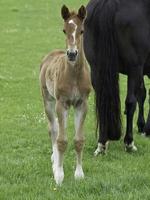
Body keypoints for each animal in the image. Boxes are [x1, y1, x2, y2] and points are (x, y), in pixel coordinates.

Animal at [39, 5, 91, 186]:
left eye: (82, 31)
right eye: (64, 30)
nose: (72, 54)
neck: (74, 76)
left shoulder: (82, 103)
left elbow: (79, 140)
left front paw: (79, 174)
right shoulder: (61, 103)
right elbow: (61, 140)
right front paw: (59, 175)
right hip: (48, 100)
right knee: (53, 129)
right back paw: (55, 163)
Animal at [84, 0, 150, 155]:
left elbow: (142, 93)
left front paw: (142, 126)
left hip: (96, 67)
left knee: (101, 101)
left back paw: (102, 142)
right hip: (135, 67)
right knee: (130, 102)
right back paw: (129, 142)